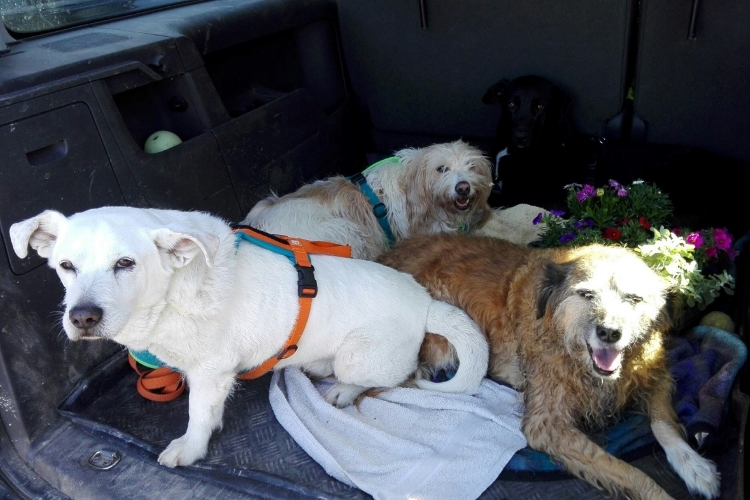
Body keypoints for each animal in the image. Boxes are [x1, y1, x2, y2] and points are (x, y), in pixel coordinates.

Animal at [10, 207, 489, 468]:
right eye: (66, 266)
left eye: (125, 263)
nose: (83, 317)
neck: (171, 295)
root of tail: (425, 301)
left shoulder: (211, 372)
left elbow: (198, 414)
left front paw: (191, 447)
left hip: (358, 357)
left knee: (388, 376)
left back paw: (342, 391)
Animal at [378, 233, 720, 500]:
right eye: (586, 294)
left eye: (634, 299)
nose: (609, 333)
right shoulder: (547, 424)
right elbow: (627, 471)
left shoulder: (654, 373)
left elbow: (663, 421)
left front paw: (695, 466)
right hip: (442, 342)